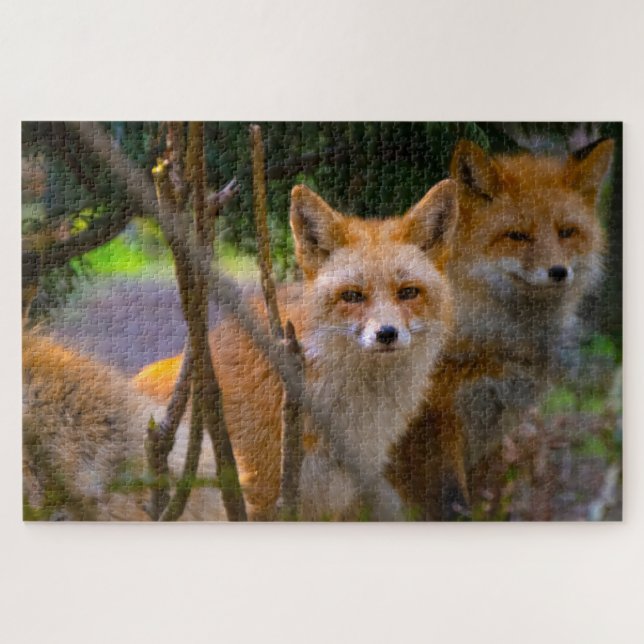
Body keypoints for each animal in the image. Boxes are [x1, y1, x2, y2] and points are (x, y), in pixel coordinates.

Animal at [387, 138, 614, 519]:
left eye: (567, 232)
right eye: (517, 236)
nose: (558, 272)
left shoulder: (494, 427)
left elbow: (486, 502)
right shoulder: (428, 428)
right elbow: (451, 505)